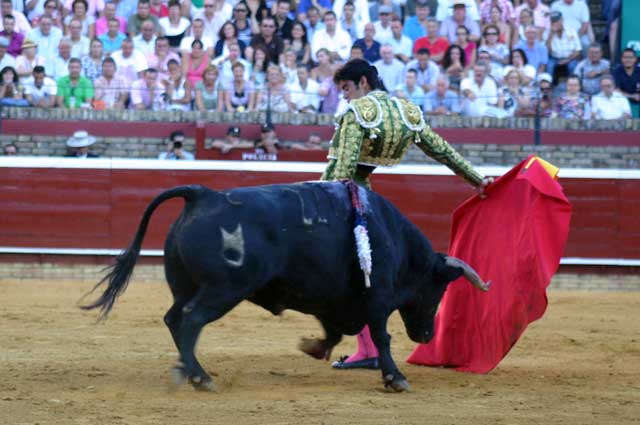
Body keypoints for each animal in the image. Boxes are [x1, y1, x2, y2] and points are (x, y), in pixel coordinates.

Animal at [81, 181, 490, 390]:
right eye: (438, 289)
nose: (426, 334)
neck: (391, 236)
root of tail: (202, 195)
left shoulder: (333, 299)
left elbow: (334, 331)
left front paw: (313, 347)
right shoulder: (376, 297)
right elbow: (382, 335)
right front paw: (396, 378)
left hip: (184, 283)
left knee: (174, 319)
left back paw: (187, 369)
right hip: (224, 289)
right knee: (192, 319)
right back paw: (201, 376)